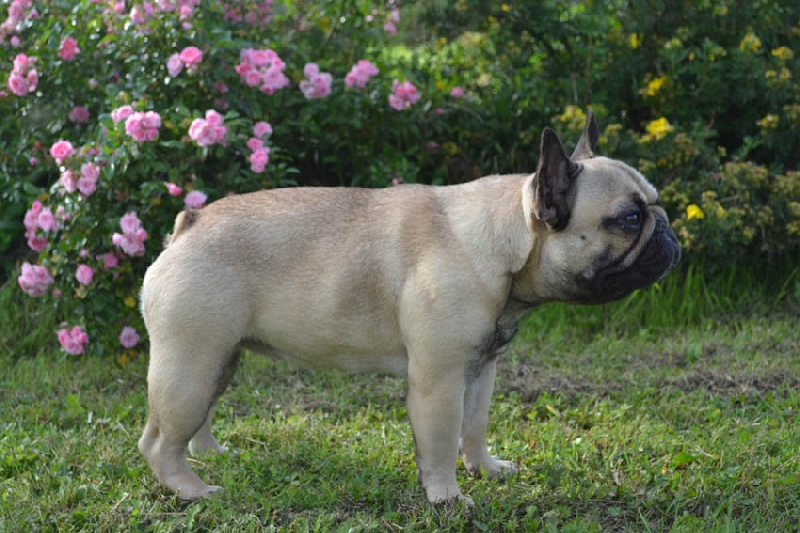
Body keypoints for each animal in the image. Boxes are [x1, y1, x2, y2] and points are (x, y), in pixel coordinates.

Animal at [139, 111, 680, 502]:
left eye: (655, 206)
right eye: (629, 220)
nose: (669, 233)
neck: (501, 242)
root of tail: (189, 224)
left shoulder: (480, 369)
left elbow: (474, 426)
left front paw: (484, 468)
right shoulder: (439, 379)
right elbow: (441, 439)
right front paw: (447, 497)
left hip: (218, 358)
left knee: (197, 418)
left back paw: (210, 453)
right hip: (190, 364)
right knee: (159, 441)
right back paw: (192, 490)